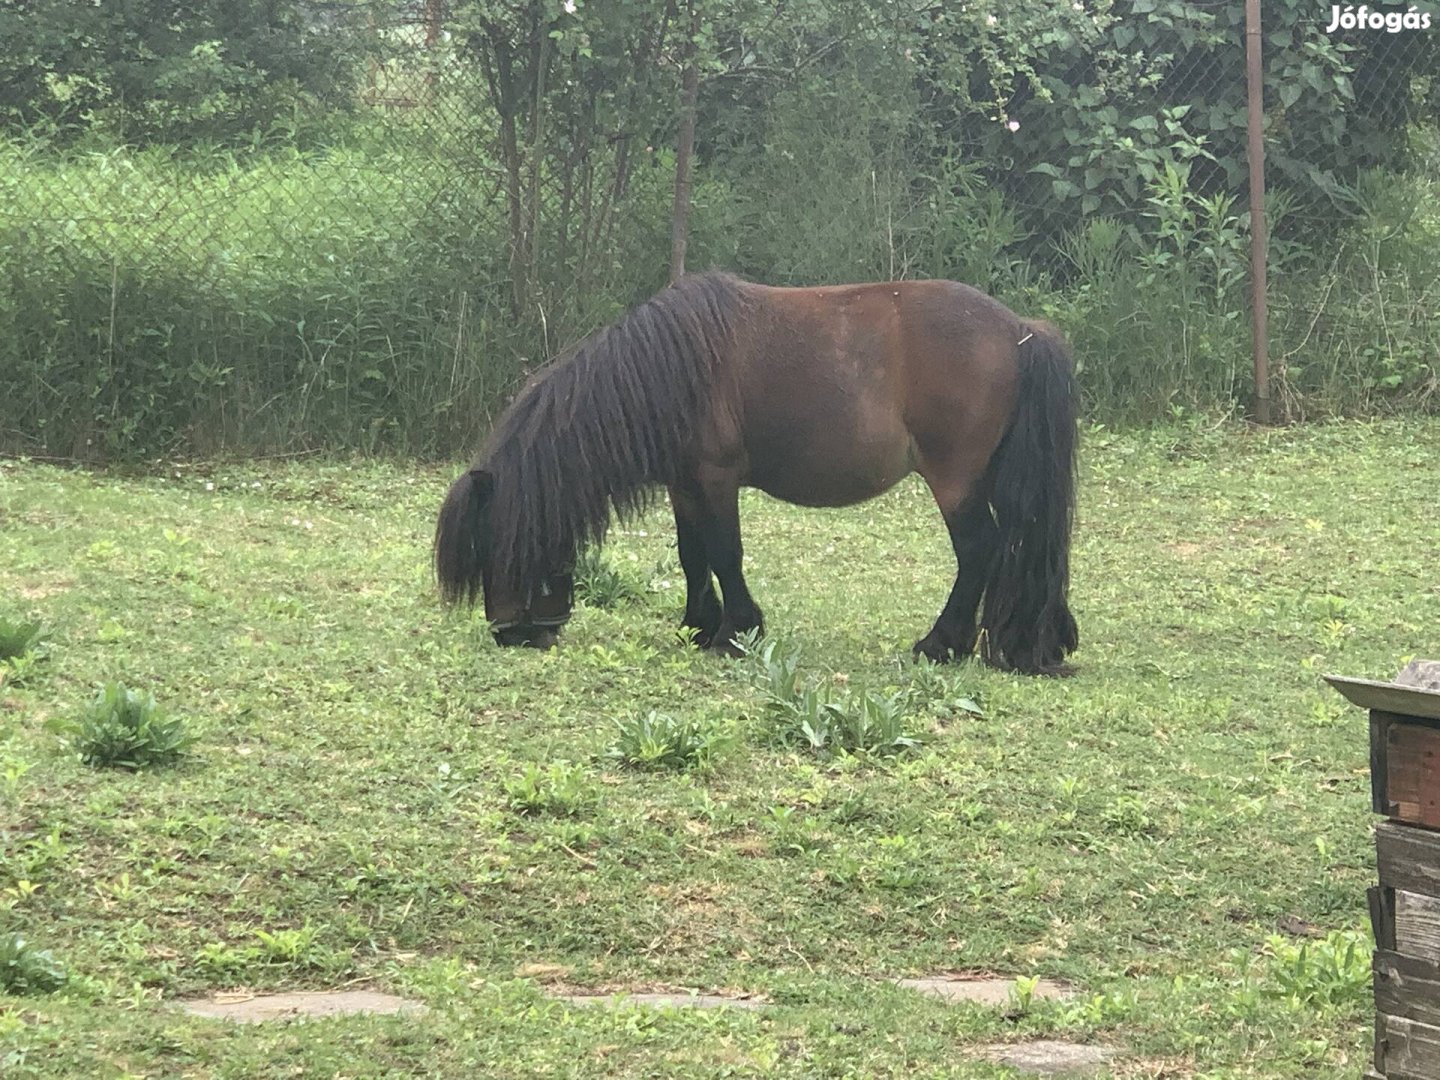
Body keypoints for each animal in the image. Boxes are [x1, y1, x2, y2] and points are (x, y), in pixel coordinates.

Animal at [432, 270, 1077, 673]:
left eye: (499, 549)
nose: (513, 634)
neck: (670, 371)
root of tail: (1019, 331)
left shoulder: (716, 480)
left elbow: (725, 553)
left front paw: (735, 633)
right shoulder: (685, 484)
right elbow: (693, 555)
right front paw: (697, 626)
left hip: (955, 482)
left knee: (979, 551)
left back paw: (941, 644)